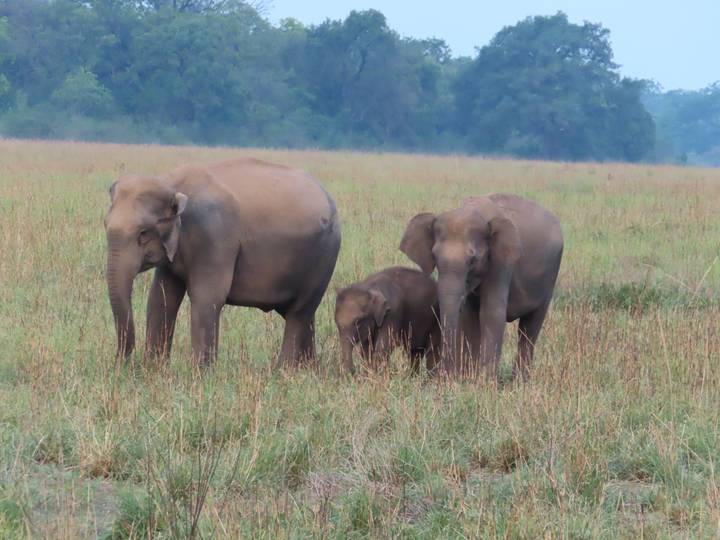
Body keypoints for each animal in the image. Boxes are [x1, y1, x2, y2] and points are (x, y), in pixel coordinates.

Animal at [104, 157, 341, 366]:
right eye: (105, 224)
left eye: (143, 233)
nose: (122, 364)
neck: (171, 183)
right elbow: (161, 298)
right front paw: (154, 369)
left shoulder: (214, 237)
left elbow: (207, 297)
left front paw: (200, 374)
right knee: (302, 314)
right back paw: (307, 369)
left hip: (324, 257)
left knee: (299, 312)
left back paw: (284, 372)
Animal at [399, 194, 563, 380]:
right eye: (434, 256)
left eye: (473, 259)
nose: (444, 375)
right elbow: (470, 316)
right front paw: (469, 378)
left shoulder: (501, 262)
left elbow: (491, 312)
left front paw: (485, 382)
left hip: (550, 278)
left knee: (530, 327)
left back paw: (520, 381)